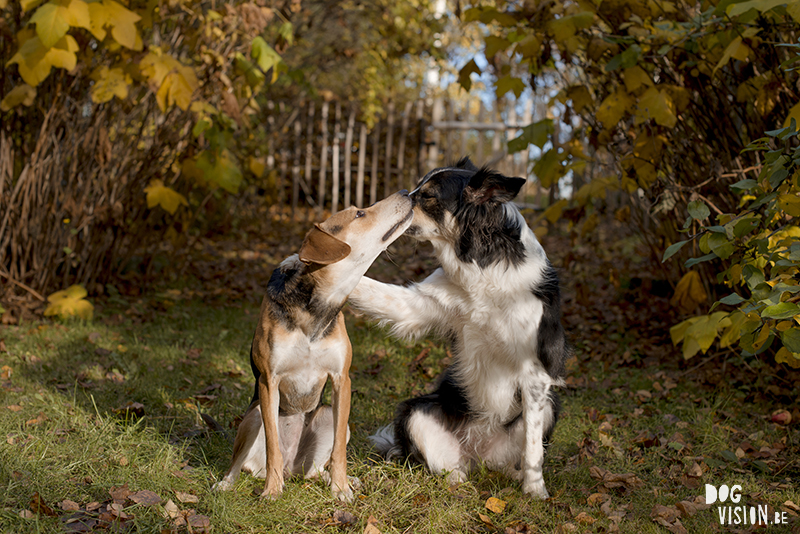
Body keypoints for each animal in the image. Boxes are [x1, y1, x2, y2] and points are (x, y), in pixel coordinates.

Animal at [214, 192, 412, 502]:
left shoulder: (342, 380)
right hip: (254, 416)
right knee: (241, 462)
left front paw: (340, 488)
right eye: (359, 214)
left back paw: (339, 479)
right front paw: (271, 491)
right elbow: (273, 447)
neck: (317, 308)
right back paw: (229, 483)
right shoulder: (269, 381)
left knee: (318, 469)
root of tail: (292, 470)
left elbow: (339, 451)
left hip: (327, 417)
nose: (406, 192)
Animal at [350, 157, 568, 500]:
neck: (482, 266)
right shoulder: (417, 306)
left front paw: (535, 491)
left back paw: (517, 476)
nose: (401, 196)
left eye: (426, 196)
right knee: (450, 467)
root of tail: (479, 452)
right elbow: (374, 289)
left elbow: (533, 448)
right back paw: (457, 482)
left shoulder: (534, 373)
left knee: (516, 457)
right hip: (414, 412)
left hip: (548, 405)